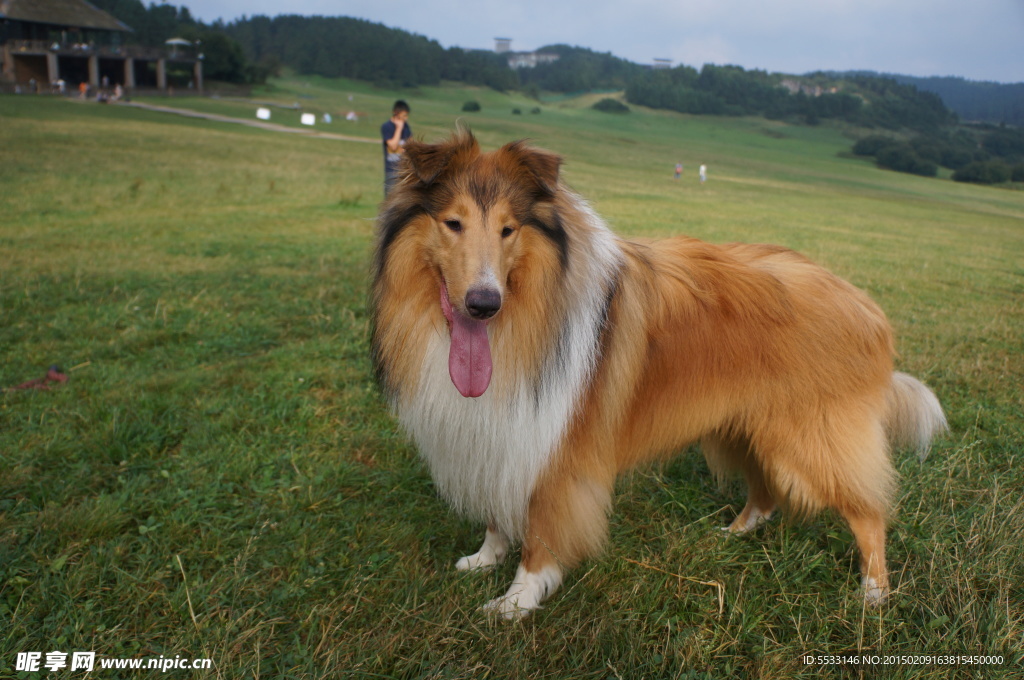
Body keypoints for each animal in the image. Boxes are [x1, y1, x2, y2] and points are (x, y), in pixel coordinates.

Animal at [372, 130, 946, 618]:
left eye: (508, 229)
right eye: (453, 223)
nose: (483, 303)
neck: (527, 314)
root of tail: (865, 305)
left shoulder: (557, 447)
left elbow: (540, 534)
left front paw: (516, 602)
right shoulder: (503, 431)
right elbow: (497, 511)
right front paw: (484, 558)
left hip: (807, 440)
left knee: (869, 511)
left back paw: (874, 591)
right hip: (745, 426)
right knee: (765, 492)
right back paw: (732, 534)